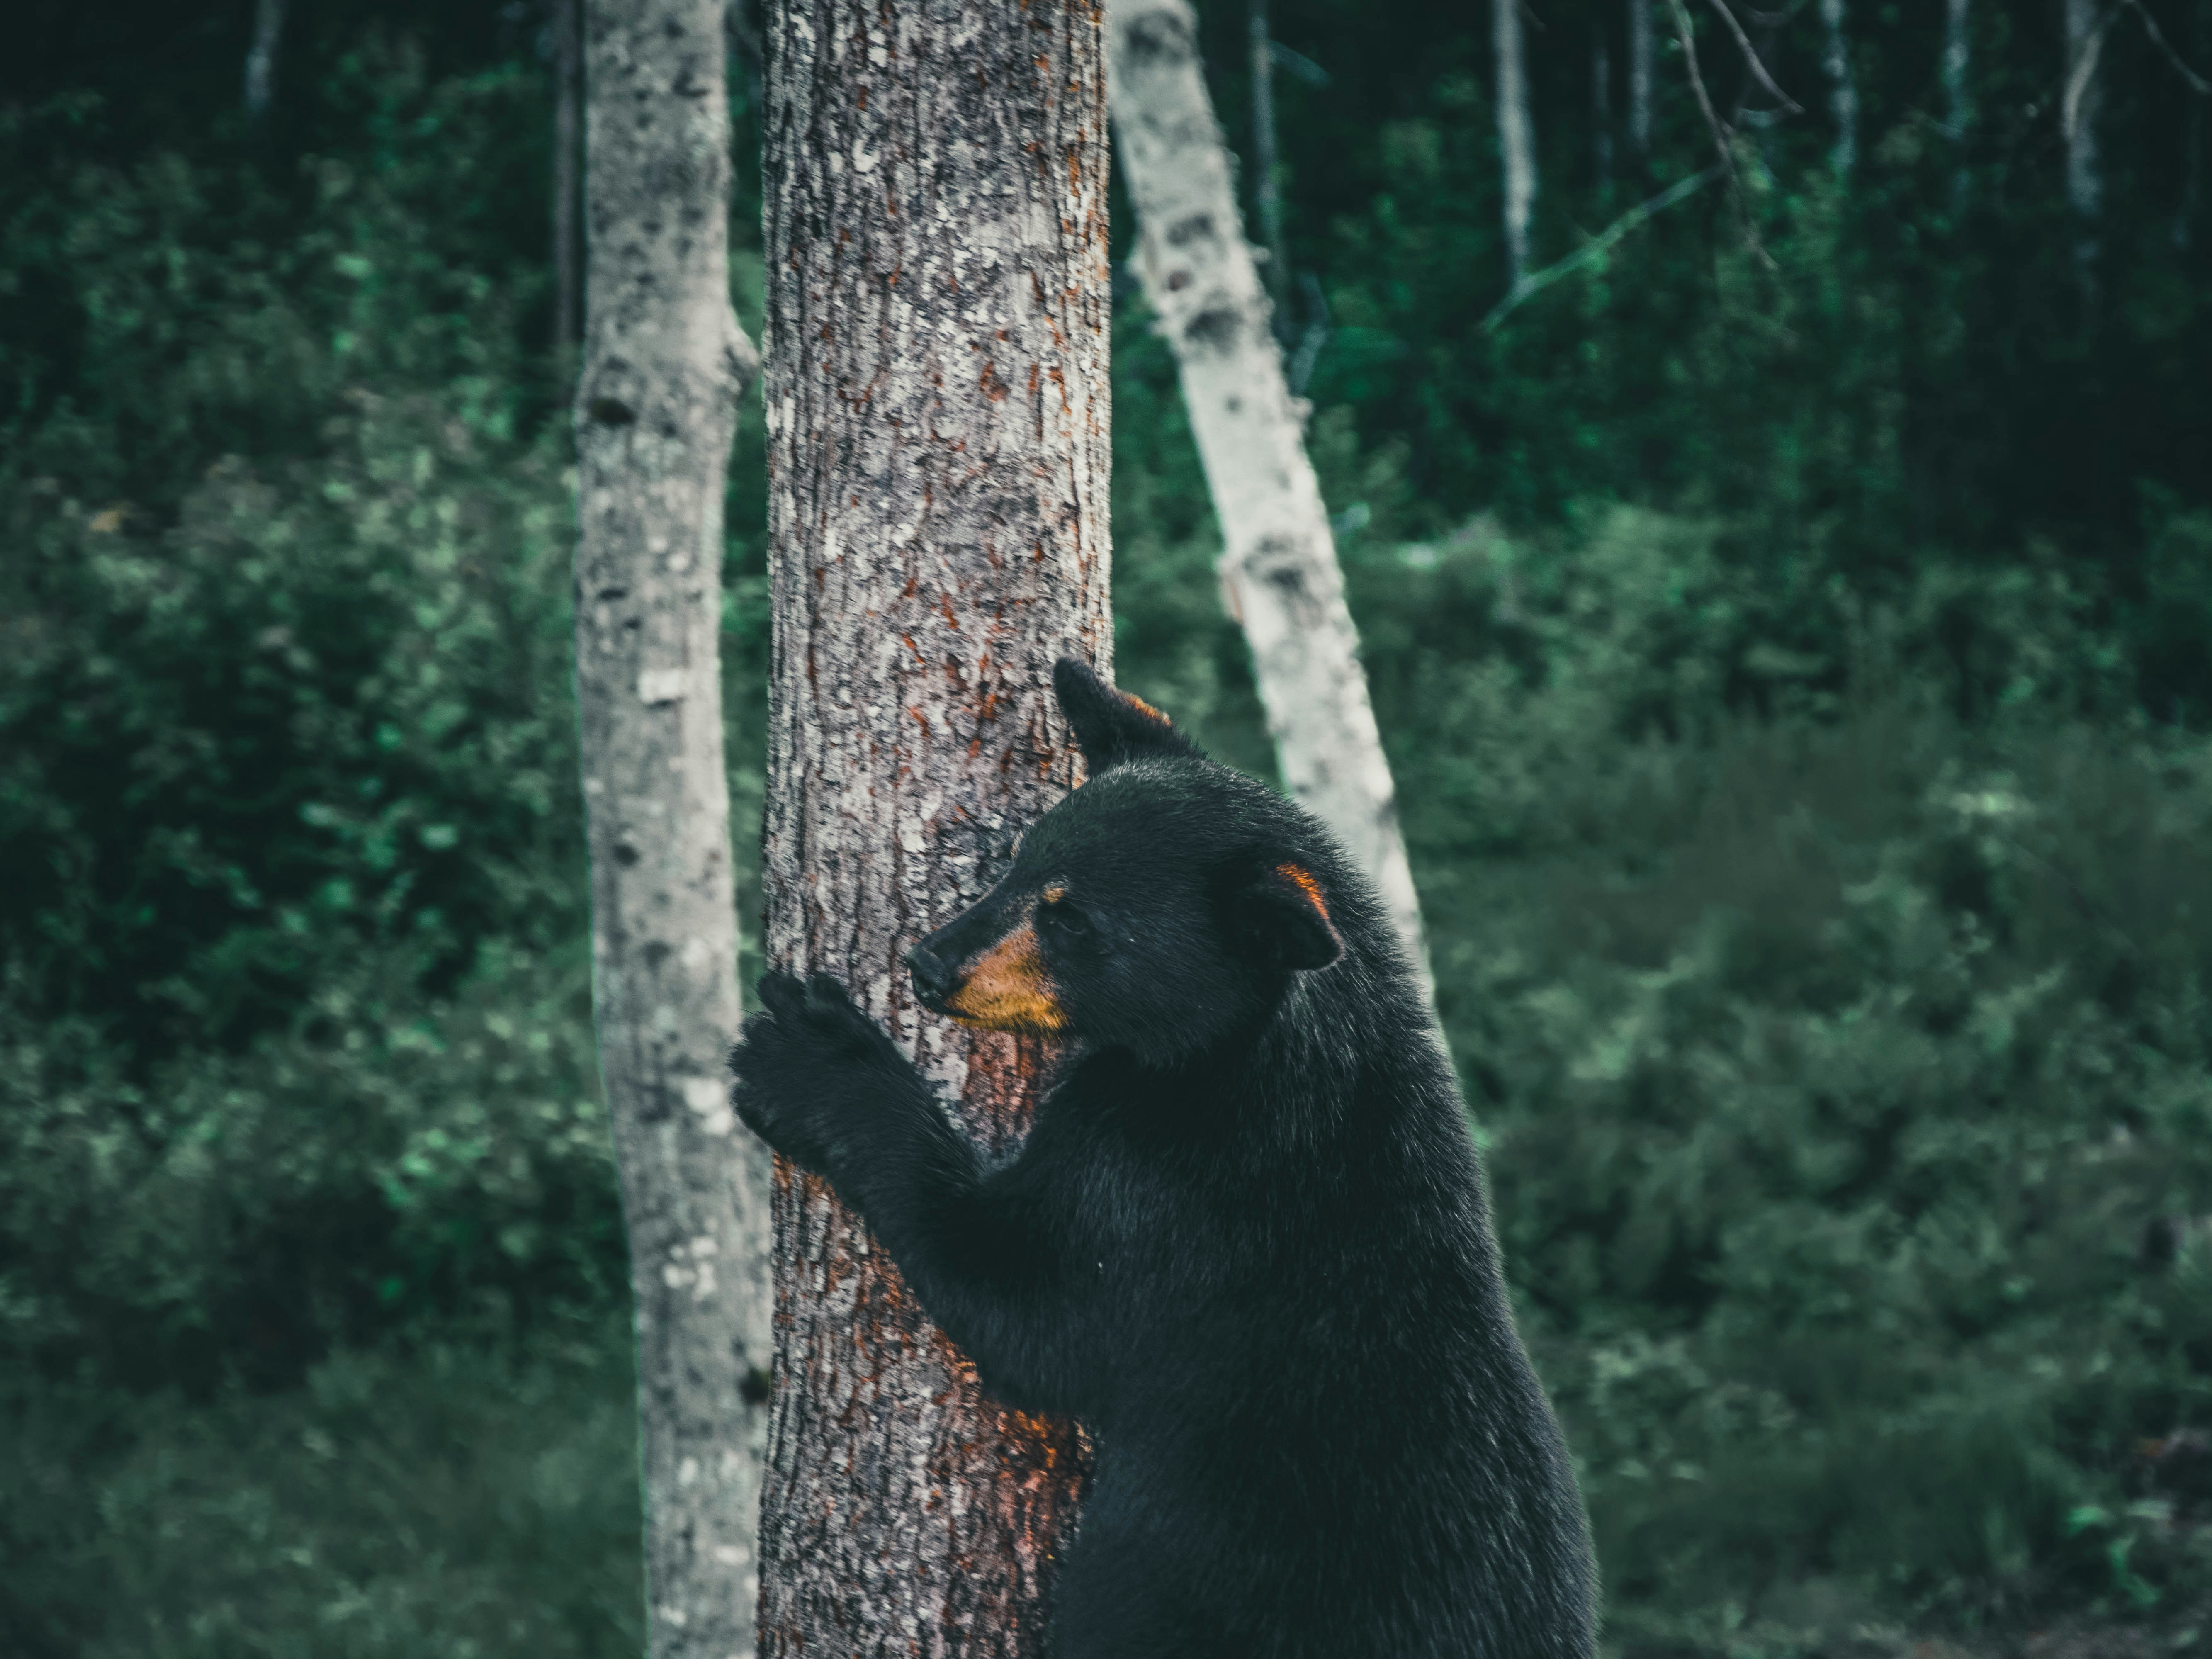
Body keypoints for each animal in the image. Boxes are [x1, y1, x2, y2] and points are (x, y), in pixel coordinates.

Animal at [729, 658, 1596, 1659]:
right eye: (1019, 860)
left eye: (1075, 924)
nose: (928, 965)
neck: (1248, 1051)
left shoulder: (1177, 1193)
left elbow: (1029, 1302)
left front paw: (809, 1057)